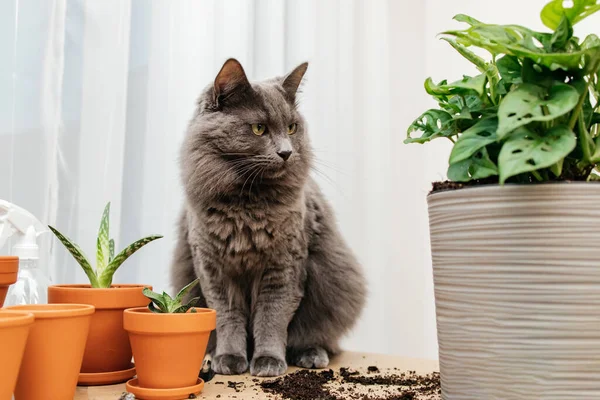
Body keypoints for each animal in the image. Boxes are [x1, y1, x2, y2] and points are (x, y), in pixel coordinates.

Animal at [169, 57, 366, 376]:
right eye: (259, 128)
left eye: (292, 127)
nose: (286, 152)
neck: (247, 205)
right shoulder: (213, 270)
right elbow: (227, 317)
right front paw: (230, 359)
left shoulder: (284, 267)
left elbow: (271, 317)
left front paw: (268, 361)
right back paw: (210, 356)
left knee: (317, 335)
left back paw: (311, 355)